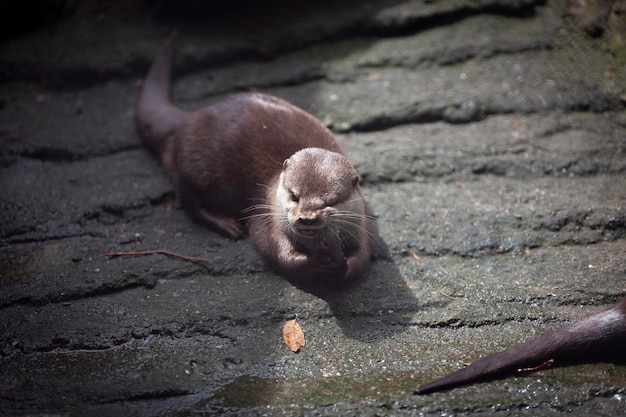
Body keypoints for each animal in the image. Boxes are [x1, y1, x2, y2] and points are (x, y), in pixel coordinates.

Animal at [135, 32, 370, 280]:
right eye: (294, 195)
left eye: (331, 202)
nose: (306, 218)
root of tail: (188, 119)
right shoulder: (266, 216)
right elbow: (276, 251)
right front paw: (316, 262)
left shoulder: (363, 220)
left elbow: (364, 255)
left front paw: (345, 265)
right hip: (187, 166)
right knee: (192, 204)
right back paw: (227, 225)